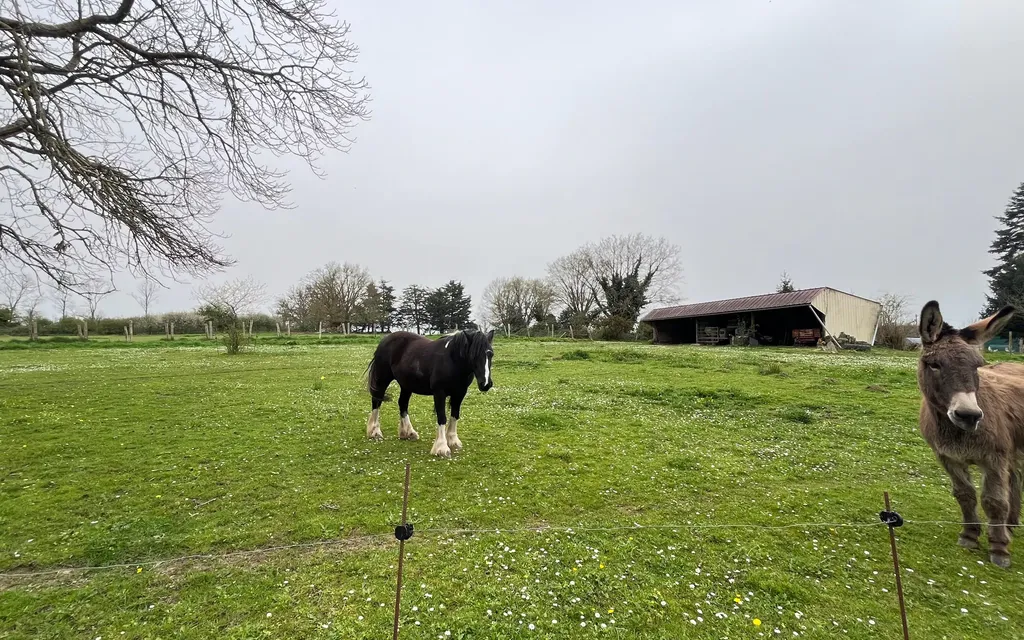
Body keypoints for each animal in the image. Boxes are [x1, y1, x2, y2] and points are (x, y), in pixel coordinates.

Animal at [917, 301, 1019, 565]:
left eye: (978, 366)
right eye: (935, 365)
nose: (969, 415)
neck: (958, 434)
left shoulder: (994, 458)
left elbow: (994, 501)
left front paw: (999, 549)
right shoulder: (948, 458)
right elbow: (965, 495)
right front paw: (970, 536)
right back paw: (1012, 524)